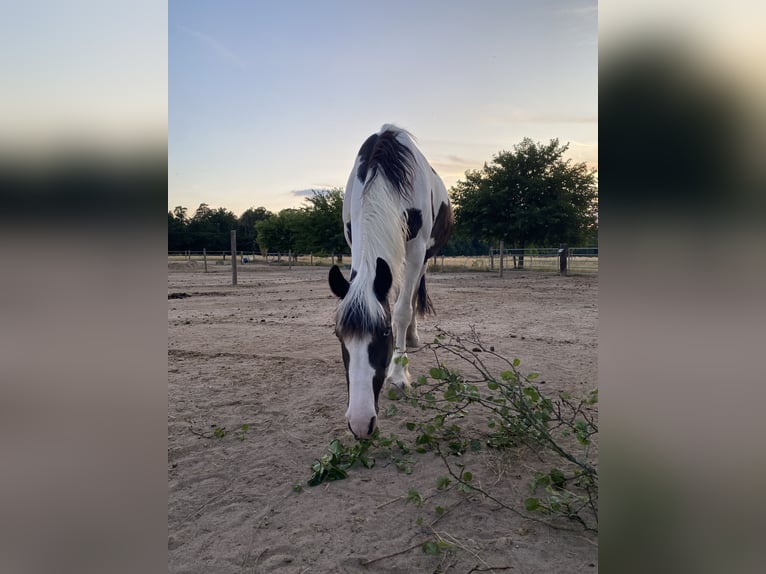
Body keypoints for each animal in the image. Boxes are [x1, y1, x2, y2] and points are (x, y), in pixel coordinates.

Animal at [328, 124, 453, 439]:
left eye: (383, 333)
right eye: (339, 335)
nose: (360, 423)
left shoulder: (418, 249)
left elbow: (401, 311)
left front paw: (399, 373)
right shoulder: (352, 240)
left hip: (423, 256)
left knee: (411, 295)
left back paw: (411, 337)